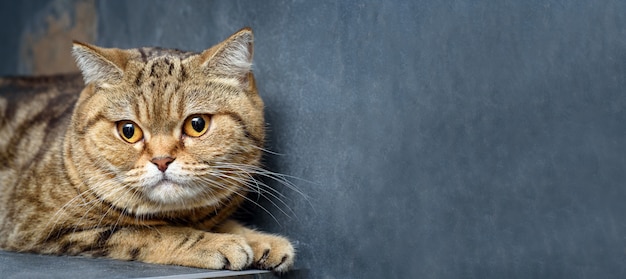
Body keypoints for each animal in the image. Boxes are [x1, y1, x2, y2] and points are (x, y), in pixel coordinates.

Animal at [0, 27, 294, 272]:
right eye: (129, 130)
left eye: (197, 124)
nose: (162, 160)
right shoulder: (41, 225)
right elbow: (152, 231)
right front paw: (215, 242)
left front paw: (258, 240)